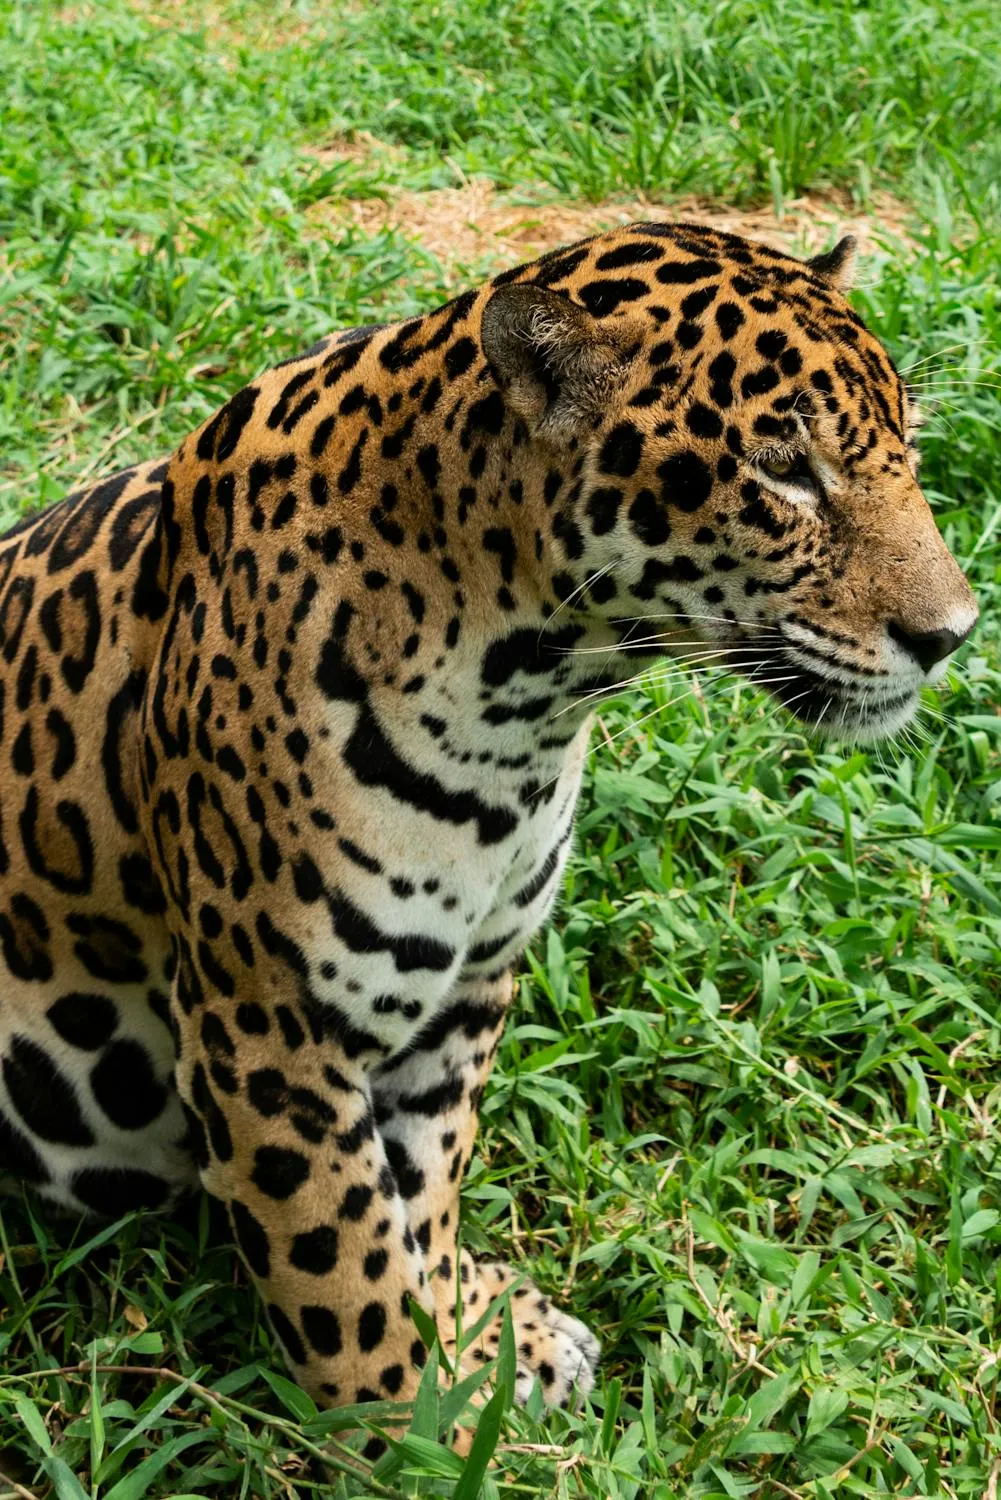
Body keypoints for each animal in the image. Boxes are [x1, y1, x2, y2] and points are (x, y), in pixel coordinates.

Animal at [0, 221, 977, 1441]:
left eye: (905, 445)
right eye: (782, 471)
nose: (952, 634)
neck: (523, 710)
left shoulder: (465, 985)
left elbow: (419, 1191)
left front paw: (469, 1338)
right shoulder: (270, 1029)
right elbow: (340, 1266)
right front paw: (414, 1434)